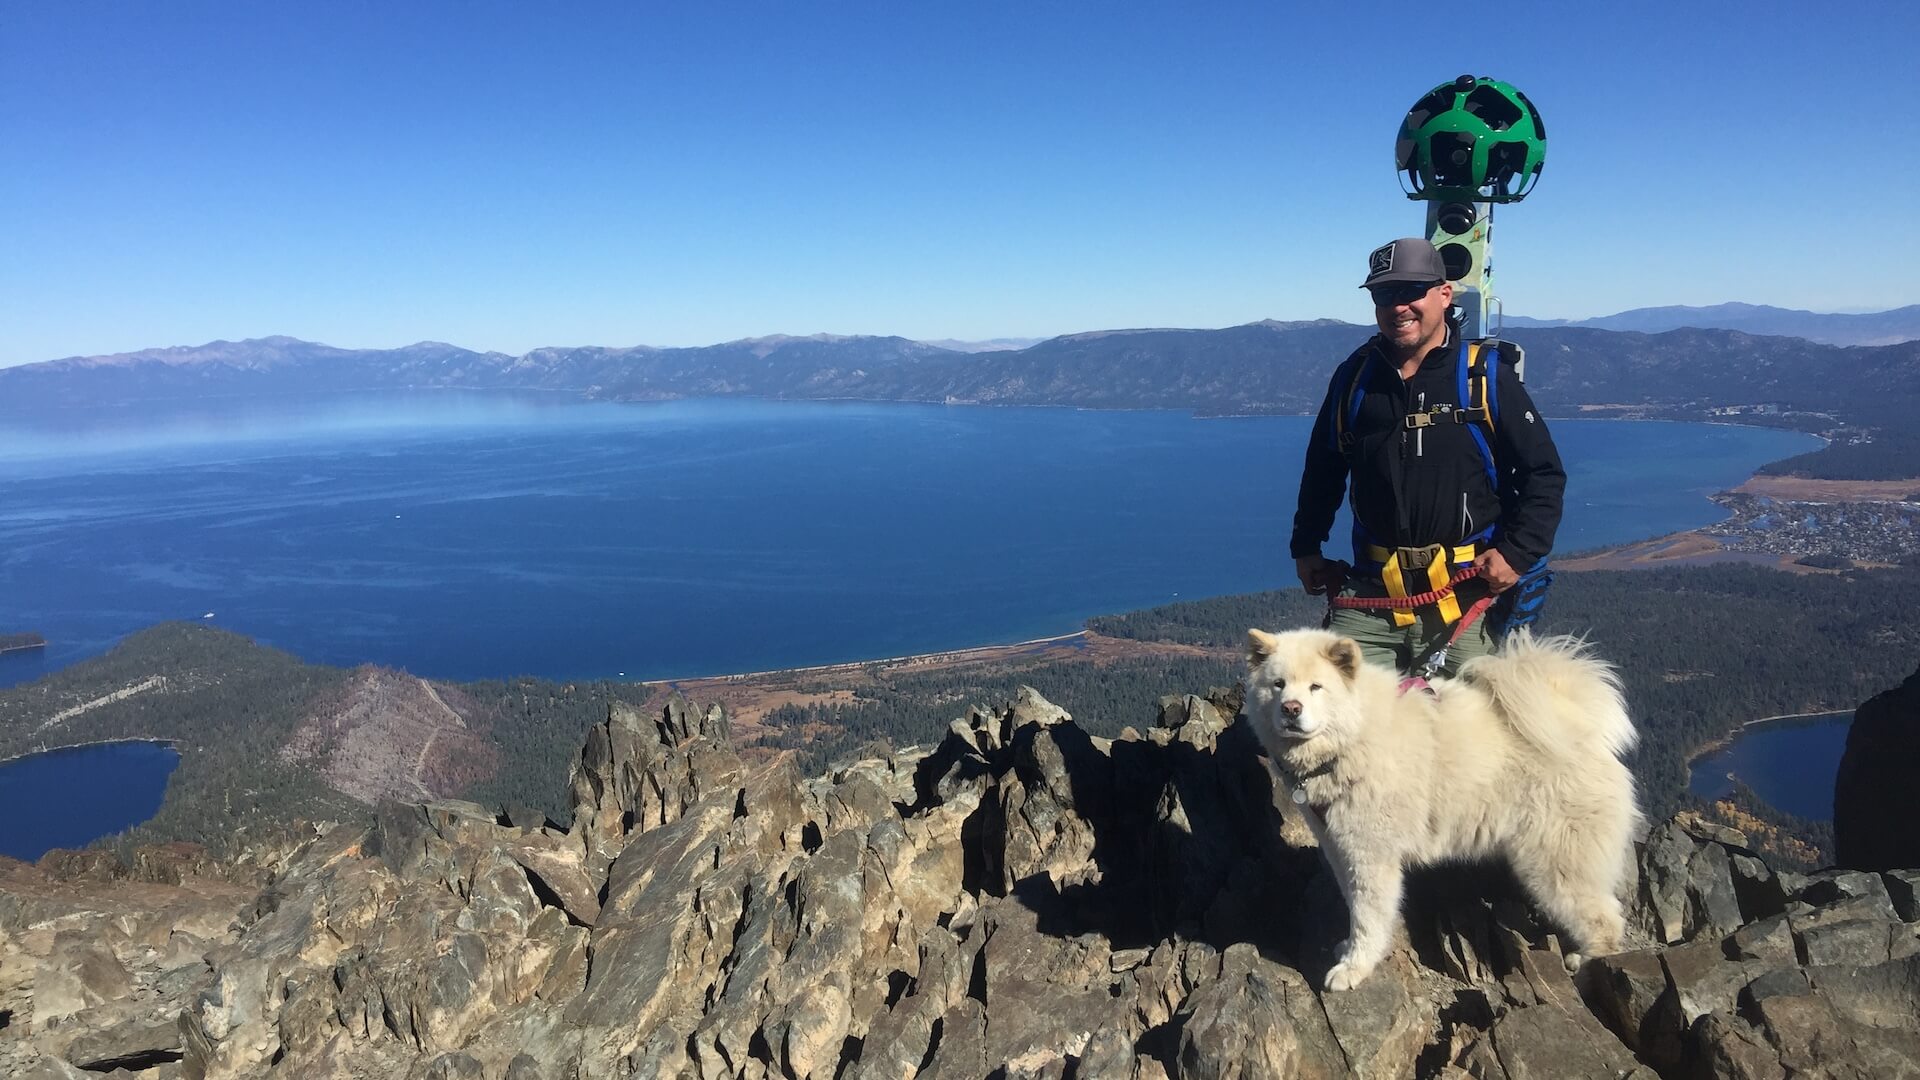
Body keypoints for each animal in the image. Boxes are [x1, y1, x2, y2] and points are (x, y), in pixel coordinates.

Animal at [1244, 626, 1651, 991]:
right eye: (1278, 684)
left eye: (1316, 687)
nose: (1291, 709)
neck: (1353, 738)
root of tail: (1584, 733)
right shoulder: (1340, 846)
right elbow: (1353, 905)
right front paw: (1348, 949)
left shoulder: (1371, 854)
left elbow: (1367, 916)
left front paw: (1353, 969)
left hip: (1555, 863)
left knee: (1605, 919)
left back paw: (1587, 963)